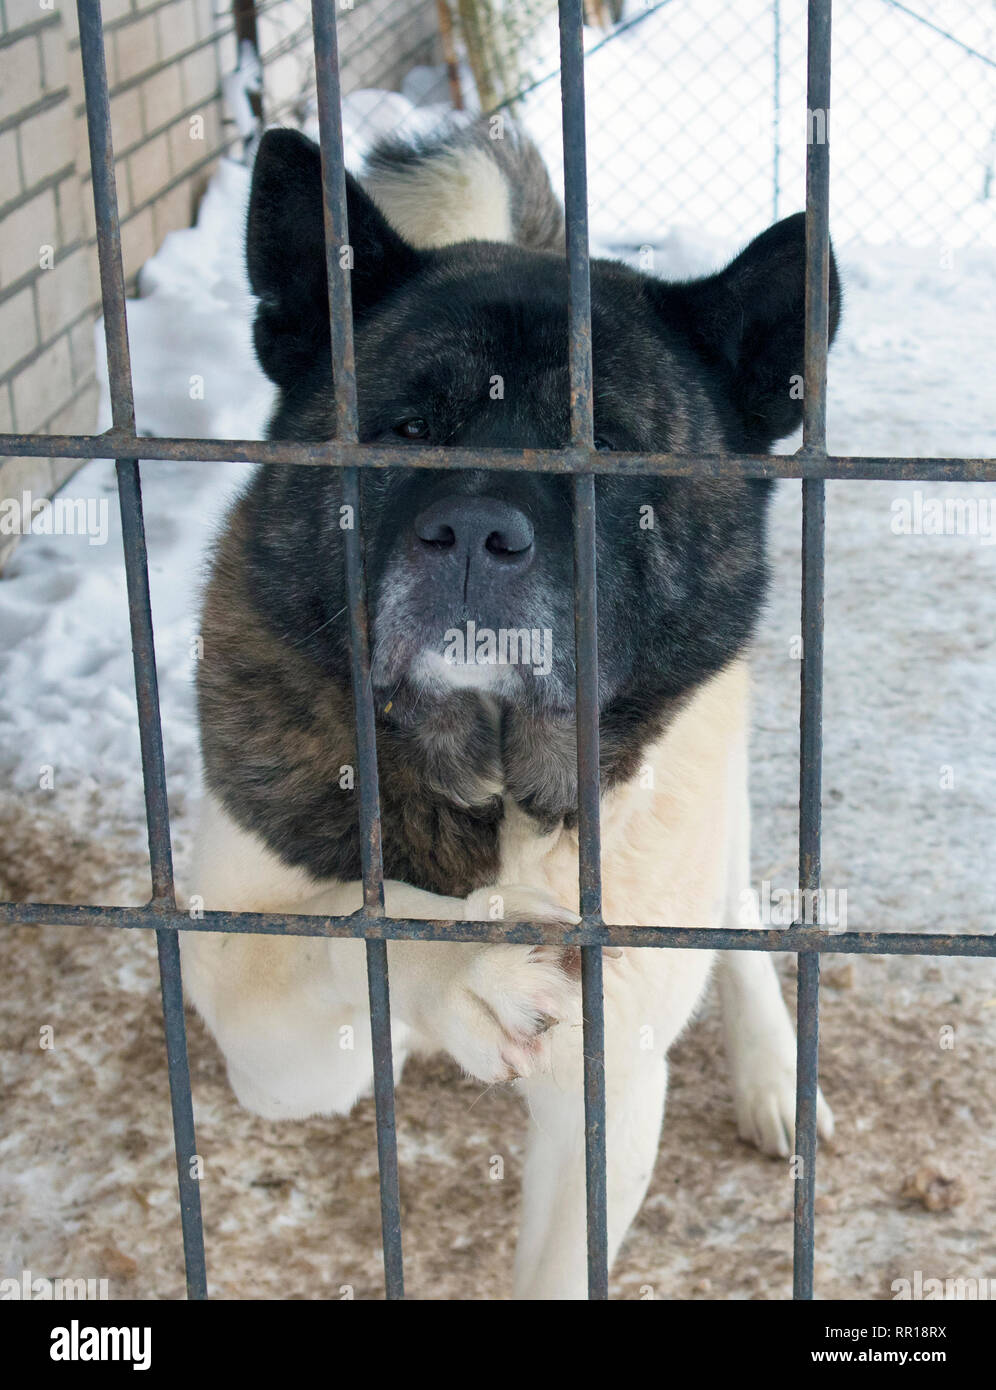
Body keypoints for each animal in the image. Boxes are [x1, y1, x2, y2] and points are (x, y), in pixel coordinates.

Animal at [180, 113, 839, 1295]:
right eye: (403, 429)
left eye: (608, 448)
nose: (477, 533)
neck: (491, 787)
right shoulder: (262, 1030)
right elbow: (352, 925)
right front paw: (468, 965)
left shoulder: (606, 1099)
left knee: (738, 898)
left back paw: (773, 1068)